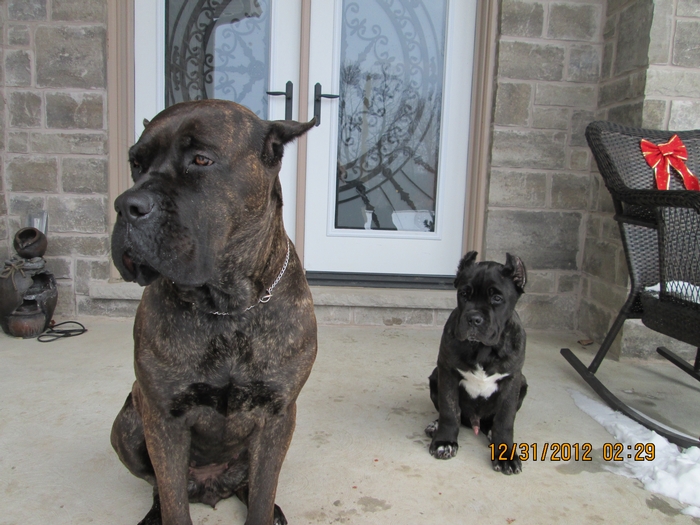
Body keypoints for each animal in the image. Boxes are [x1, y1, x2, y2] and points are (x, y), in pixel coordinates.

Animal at [424, 251, 528, 474]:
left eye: (497, 298)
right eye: (464, 294)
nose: (473, 318)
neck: (483, 349)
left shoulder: (512, 380)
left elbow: (505, 419)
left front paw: (505, 455)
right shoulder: (447, 372)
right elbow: (449, 410)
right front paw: (444, 441)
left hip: (523, 383)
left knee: (492, 422)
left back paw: (489, 432)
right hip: (435, 376)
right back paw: (435, 426)